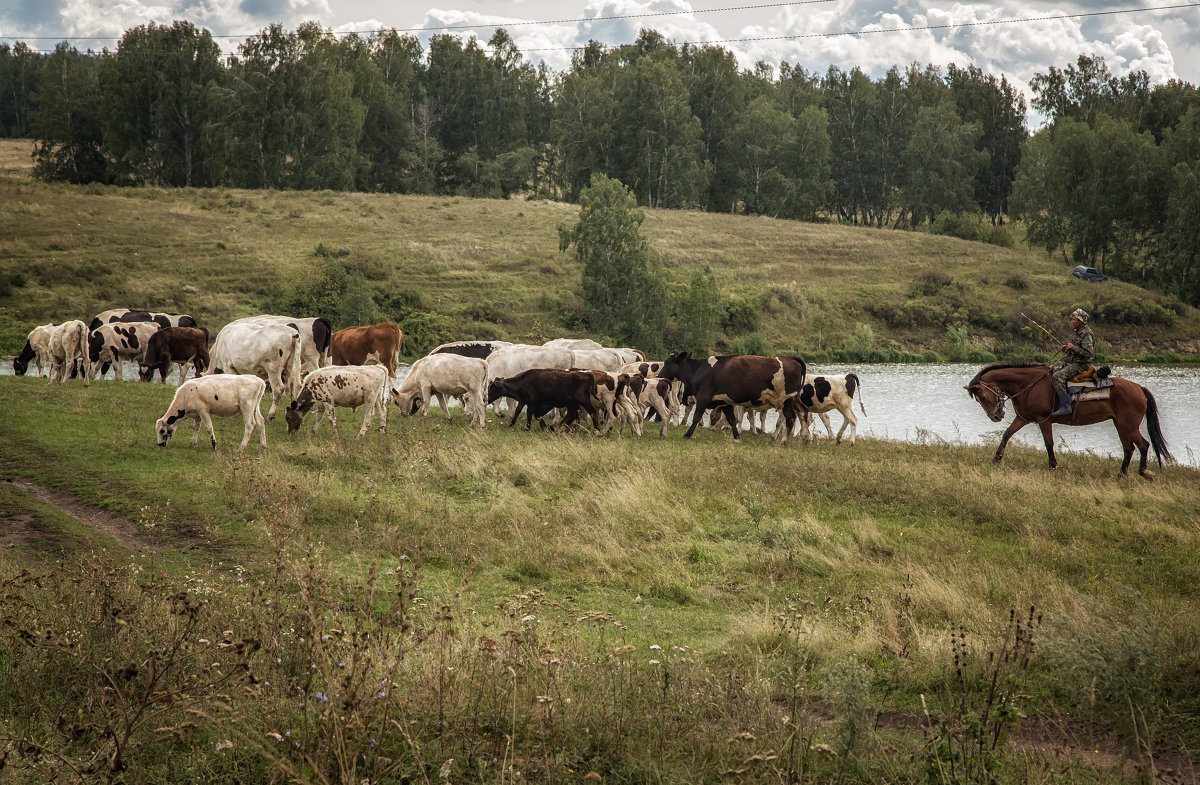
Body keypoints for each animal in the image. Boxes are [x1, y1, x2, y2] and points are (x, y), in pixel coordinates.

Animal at [657, 352, 806, 446]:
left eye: (667, 363)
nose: (658, 375)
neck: (699, 370)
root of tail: (790, 358)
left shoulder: (703, 398)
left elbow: (696, 417)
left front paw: (687, 435)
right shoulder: (725, 402)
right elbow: (732, 420)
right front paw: (736, 437)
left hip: (786, 399)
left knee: (790, 417)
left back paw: (783, 441)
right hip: (790, 400)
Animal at [964, 364, 1171, 480]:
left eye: (982, 396)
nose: (995, 416)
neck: (1029, 385)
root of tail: (1139, 388)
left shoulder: (1044, 420)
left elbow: (1048, 443)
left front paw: (1053, 465)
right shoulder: (1023, 418)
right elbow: (1007, 434)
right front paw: (996, 459)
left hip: (1129, 425)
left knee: (1143, 445)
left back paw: (1143, 472)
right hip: (1120, 425)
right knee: (1129, 448)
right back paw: (1121, 474)